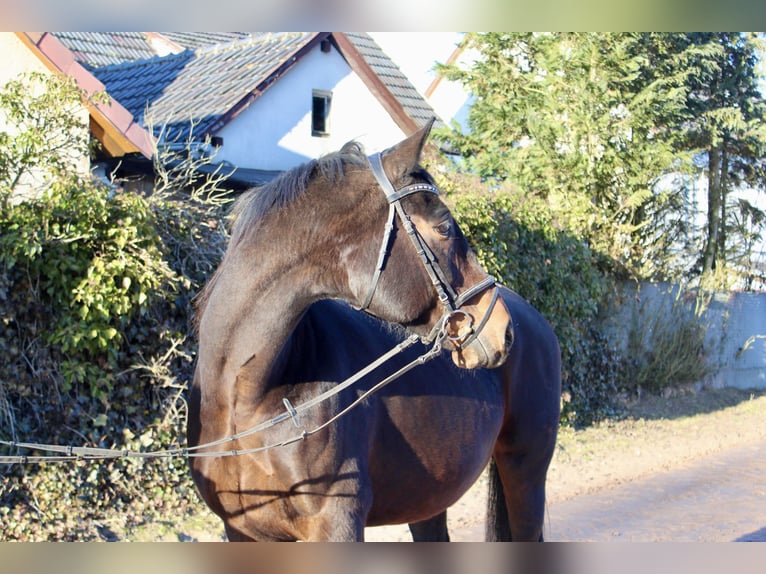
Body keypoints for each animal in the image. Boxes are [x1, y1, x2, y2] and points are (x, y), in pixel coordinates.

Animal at [189, 120, 561, 541]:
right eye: (444, 227)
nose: (502, 329)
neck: (250, 398)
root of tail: (536, 321)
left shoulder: (336, 526)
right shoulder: (243, 532)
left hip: (525, 471)